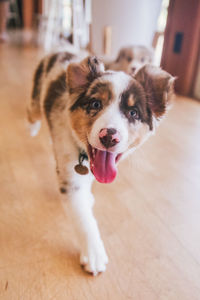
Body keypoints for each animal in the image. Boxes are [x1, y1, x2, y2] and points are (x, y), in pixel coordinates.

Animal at [27, 51, 174, 274]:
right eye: (95, 104)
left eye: (133, 113)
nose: (109, 137)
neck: (84, 155)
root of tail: (60, 49)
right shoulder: (71, 180)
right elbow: (83, 217)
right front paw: (94, 253)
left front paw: (89, 199)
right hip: (36, 98)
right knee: (32, 111)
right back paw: (33, 129)